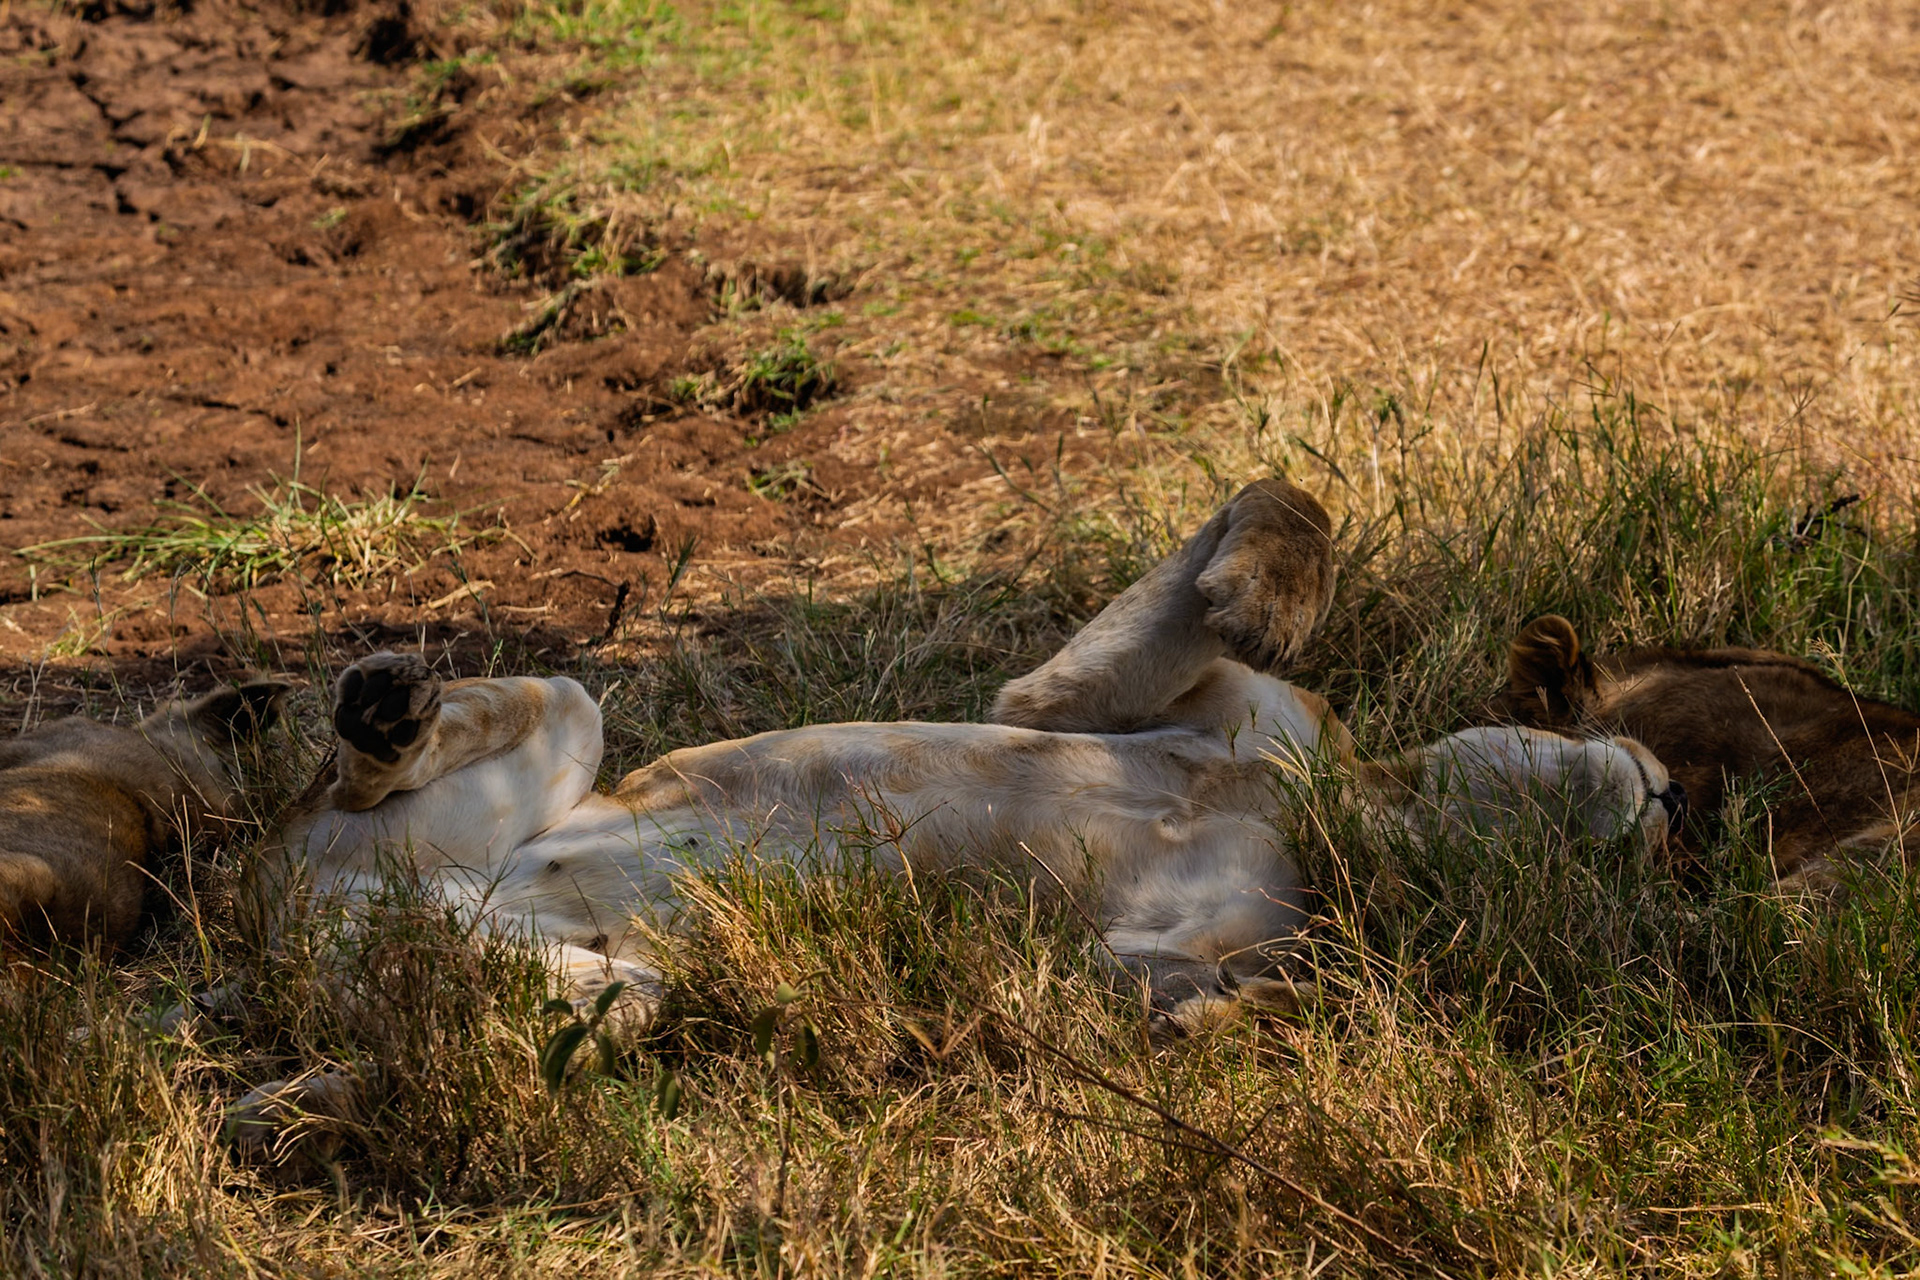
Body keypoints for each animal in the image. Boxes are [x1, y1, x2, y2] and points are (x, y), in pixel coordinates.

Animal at [223, 479, 1681, 1158]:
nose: (1677, 810)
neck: (1340, 806)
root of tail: (308, 927)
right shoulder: (1111, 700)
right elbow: (1279, 499)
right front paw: (1261, 593)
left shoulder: (1171, 944)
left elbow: (1233, 992)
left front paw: (1244, 1023)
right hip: (557, 720)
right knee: (392, 764)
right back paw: (382, 708)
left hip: (580, 972)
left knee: (522, 1028)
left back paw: (299, 1108)